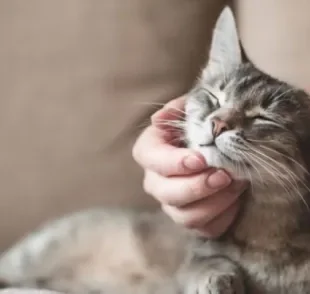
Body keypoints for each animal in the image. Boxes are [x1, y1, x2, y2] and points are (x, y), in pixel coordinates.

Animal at [1, 5, 310, 294]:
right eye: (214, 98)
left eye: (263, 117)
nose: (218, 123)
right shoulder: (194, 253)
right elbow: (203, 261)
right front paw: (217, 277)